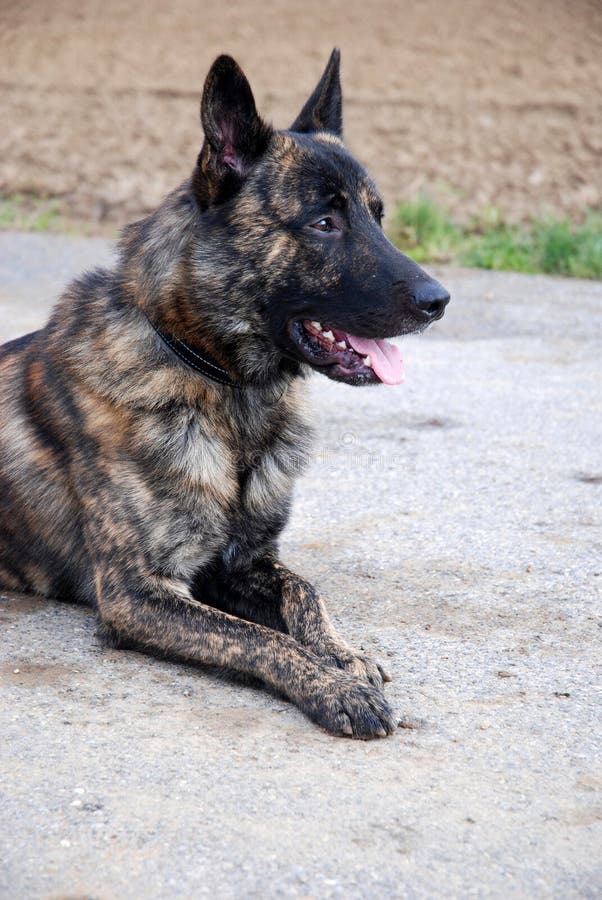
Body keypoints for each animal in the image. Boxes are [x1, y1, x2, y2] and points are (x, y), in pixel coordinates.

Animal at [0, 51, 446, 740]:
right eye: (324, 222)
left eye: (378, 216)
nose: (439, 301)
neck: (224, 388)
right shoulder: (137, 594)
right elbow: (259, 639)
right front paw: (334, 687)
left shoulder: (240, 563)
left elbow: (305, 591)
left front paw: (342, 654)